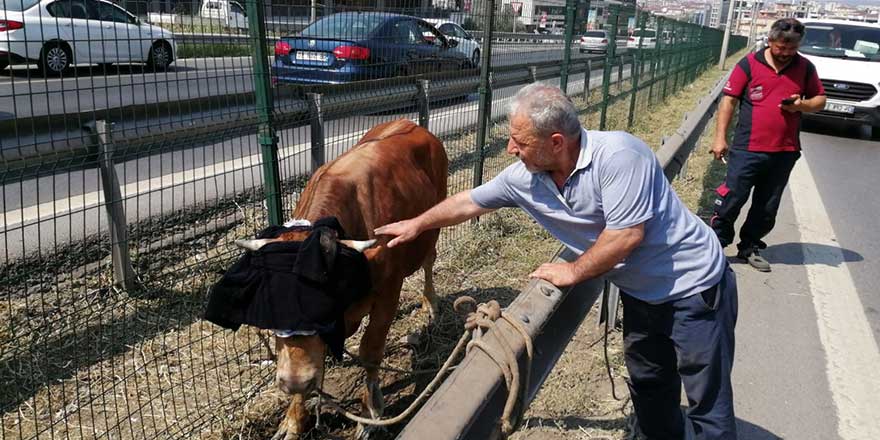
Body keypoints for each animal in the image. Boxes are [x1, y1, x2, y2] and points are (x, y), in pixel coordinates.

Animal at [239, 120, 450, 440]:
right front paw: (293, 419)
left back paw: (431, 305)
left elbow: (370, 351)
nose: (294, 383)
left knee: (428, 261)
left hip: (432, 228)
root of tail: (412, 125)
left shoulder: (389, 293)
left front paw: (369, 413)